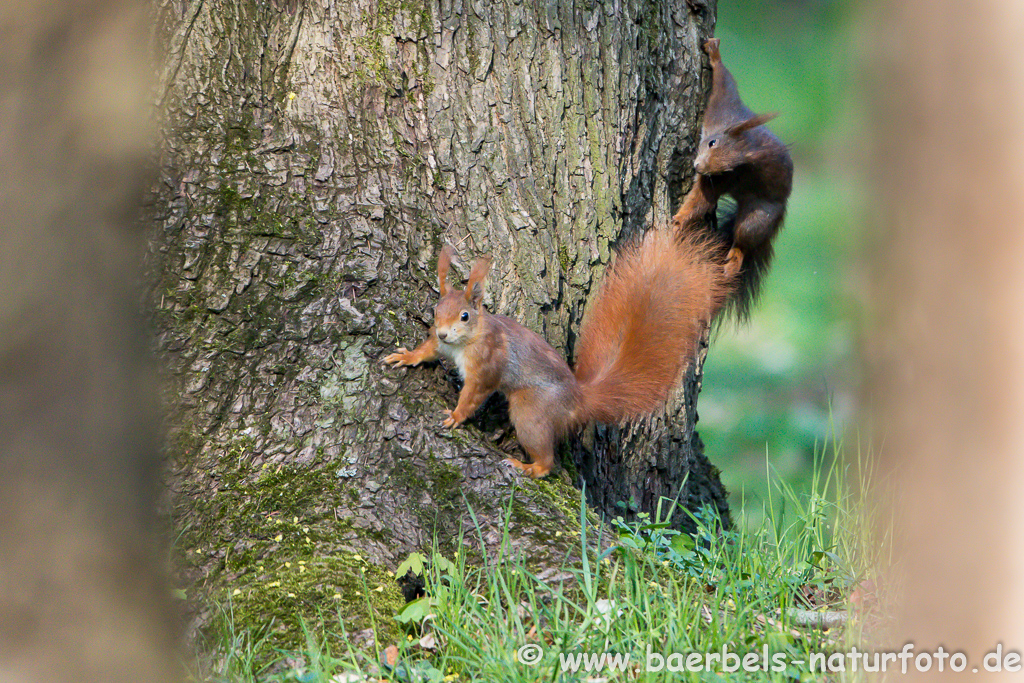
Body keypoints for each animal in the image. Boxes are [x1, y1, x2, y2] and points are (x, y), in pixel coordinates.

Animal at [382, 232, 729, 479]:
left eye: (465, 316)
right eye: (435, 311)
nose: (443, 332)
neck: (464, 342)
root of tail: (579, 401)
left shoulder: (488, 363)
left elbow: (475, 393)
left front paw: (456, 415)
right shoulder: (441, 346)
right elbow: (427, 350)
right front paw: (406, 356)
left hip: (531, 412)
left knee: (546, 460)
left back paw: (528, 467)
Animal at [675, 38, 794, 321]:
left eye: (729, 167)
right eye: (711, 143)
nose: (698, 167)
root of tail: (783, 207)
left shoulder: (723, 173)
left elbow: (703, 200)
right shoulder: (723, 114)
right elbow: (724, 83)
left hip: (759, 215)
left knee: (745, 238)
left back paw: (735, 259)